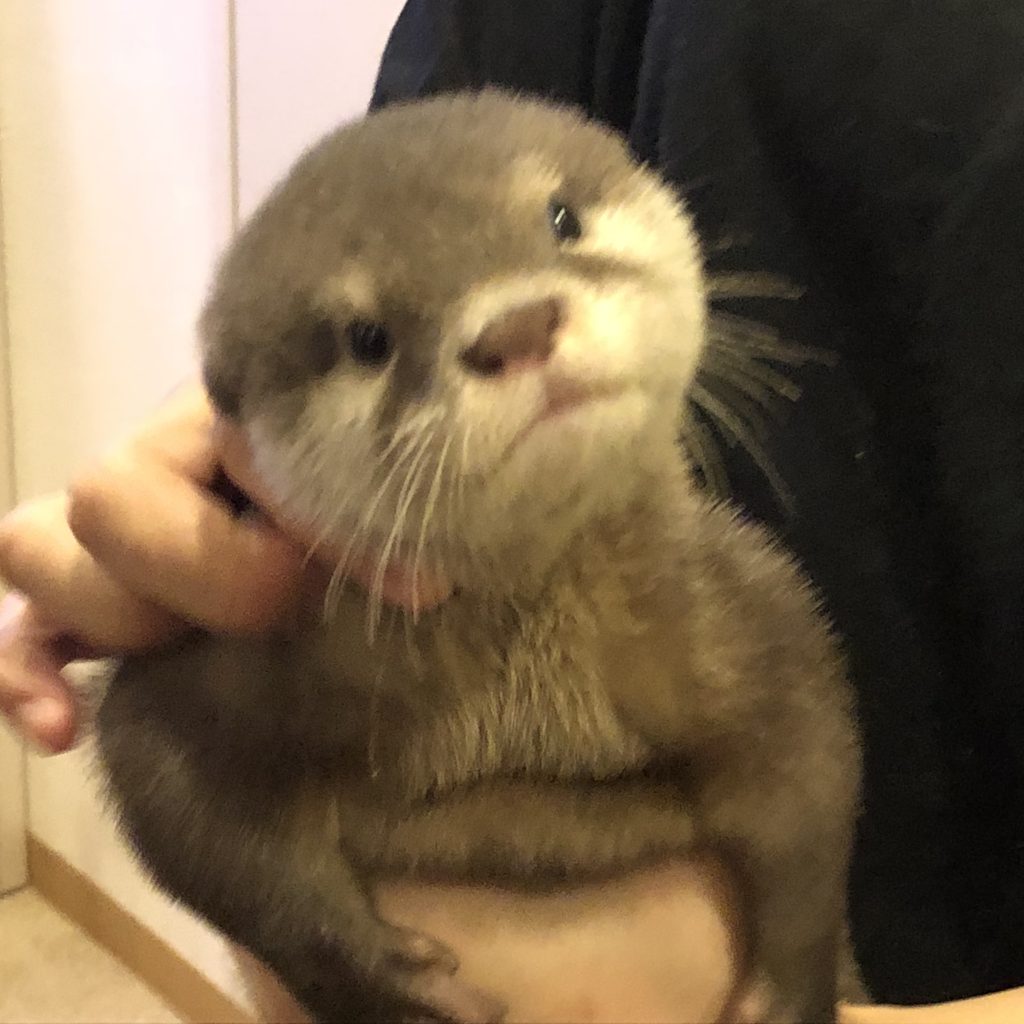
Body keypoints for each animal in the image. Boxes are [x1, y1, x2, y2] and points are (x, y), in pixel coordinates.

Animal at [96, 90, 864, 1024]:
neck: (525, 674)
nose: (517, 326)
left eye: (560, 217)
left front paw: (793, 989)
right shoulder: (246, 668)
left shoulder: (750, 624)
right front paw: (383, 979)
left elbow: (813, 777)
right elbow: (175, 789)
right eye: (366, 337)